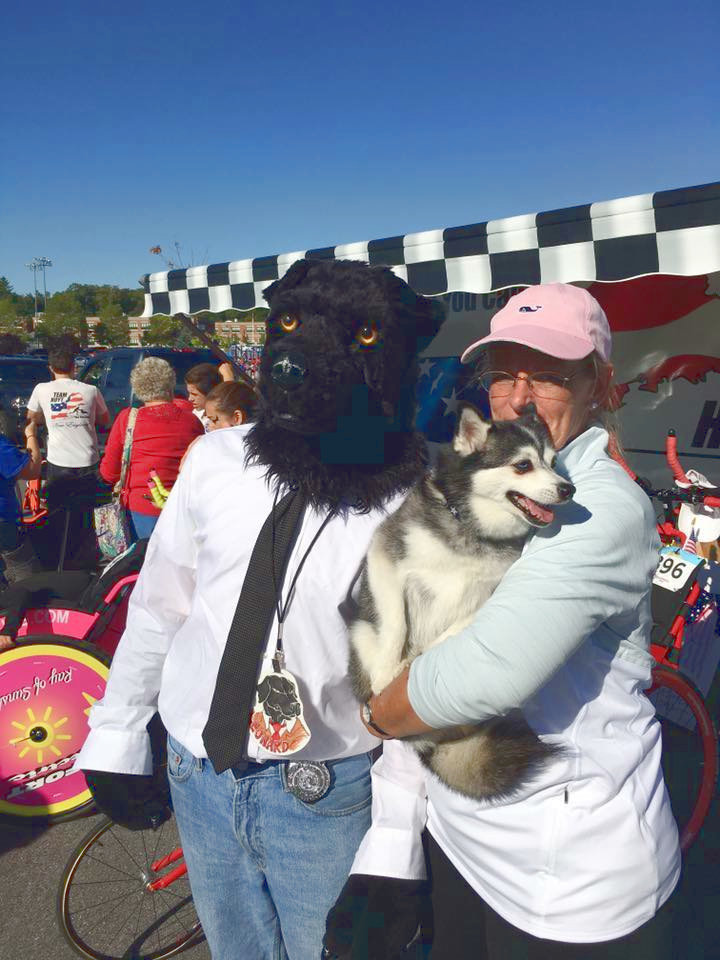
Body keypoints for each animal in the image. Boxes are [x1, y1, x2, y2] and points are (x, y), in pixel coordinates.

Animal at [348, 404, 572, 804]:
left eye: (554, 462)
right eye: (523, 465)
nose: (568, 489)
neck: (473, 529)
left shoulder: (488, 598)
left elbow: (442, 640)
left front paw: (415, 661)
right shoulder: (385, 553)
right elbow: (396, 624)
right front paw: (390, 672)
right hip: (359, 632)